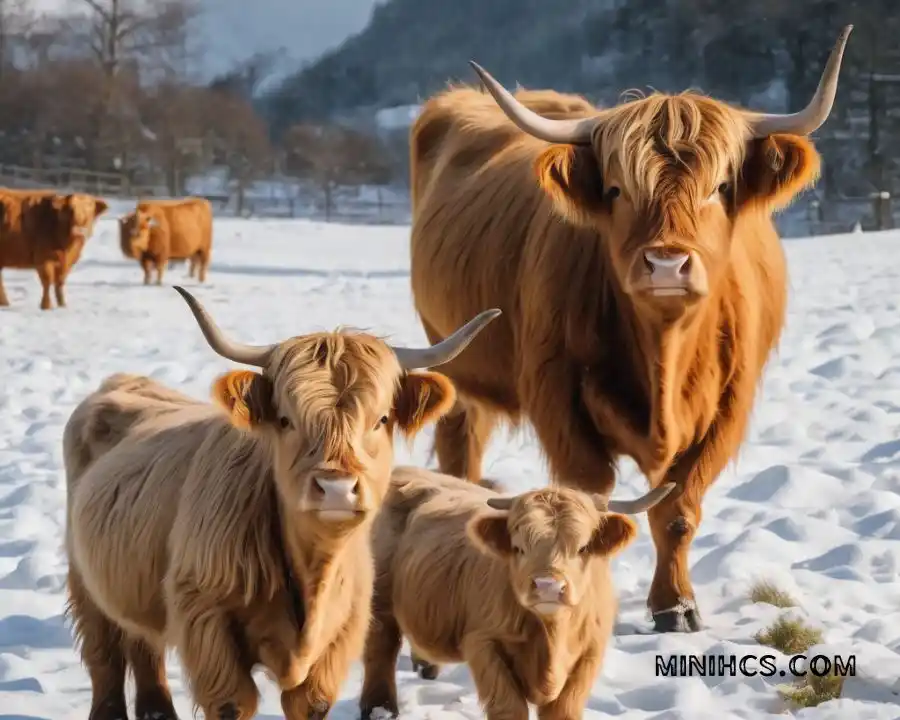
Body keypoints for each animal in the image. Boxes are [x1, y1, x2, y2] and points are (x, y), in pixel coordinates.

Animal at [358, 466, 676, 720]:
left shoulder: (591, 651)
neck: (551, 636)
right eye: (519, 547)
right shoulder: (484, 643)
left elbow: (564, 709)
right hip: (379, 599)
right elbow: (509, 707)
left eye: (583, 547)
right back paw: (379, 710)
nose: (548, 586)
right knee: (381, 649)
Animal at [406, 26, 852, 632]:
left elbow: (678, 510)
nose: (666, 264)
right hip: (449, 349)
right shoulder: (559, 399)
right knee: (459, 443)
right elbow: (589, 496)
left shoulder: (728, 408)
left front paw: (676, 606)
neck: (664, 355)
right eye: (617, 190)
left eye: (720, 186)